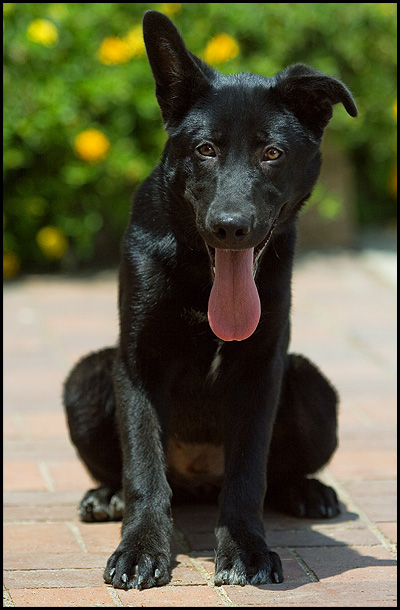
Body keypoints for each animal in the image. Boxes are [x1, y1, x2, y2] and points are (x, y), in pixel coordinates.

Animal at [63, 10, 356, 588]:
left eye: (272, 153)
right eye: (205, 149)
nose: (230, 228)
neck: (203, 276)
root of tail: (198, 478)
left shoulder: (261, 367)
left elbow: (248, 474)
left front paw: (245, 549)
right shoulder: (138, 363)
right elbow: (143, 466)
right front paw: (140, 550)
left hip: (312, 389)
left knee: (277, 472)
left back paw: (308, 491)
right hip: (86, 381)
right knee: (135, 471)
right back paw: (105, 496)